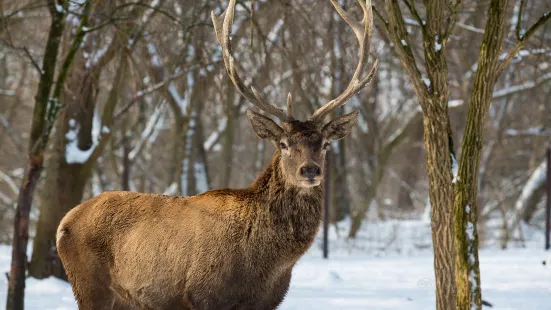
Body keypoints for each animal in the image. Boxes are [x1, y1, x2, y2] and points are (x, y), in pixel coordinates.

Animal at [57, 0, 380, 308]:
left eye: (325, 144)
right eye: (283, 144)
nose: (310, 170)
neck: (265, 267)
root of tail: (64, 222)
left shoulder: (268, 302)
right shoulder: (204, 295)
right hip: (90, 288)